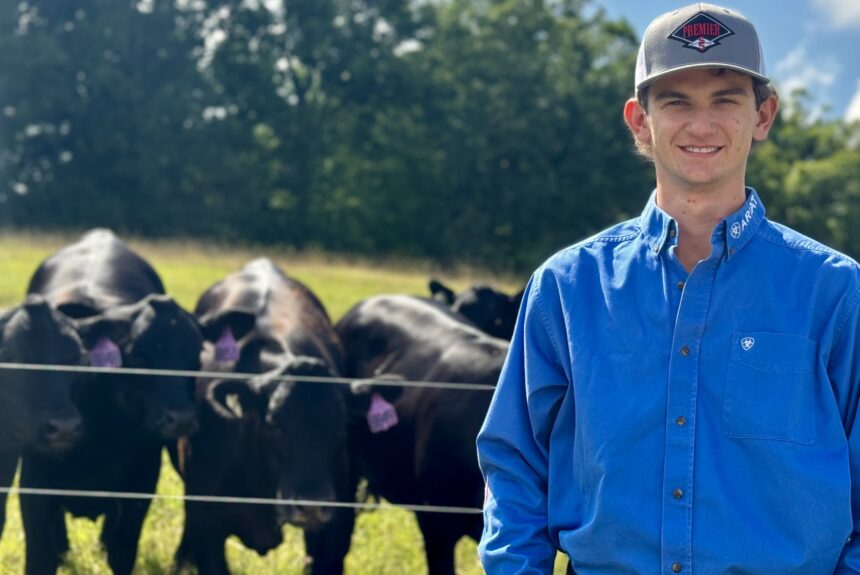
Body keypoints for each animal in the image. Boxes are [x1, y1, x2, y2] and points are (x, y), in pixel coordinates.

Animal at [20, 228, 202, 575]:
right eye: (138, 356)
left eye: (193, 355)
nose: (183, 418)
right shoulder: (34, 486)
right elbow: (40, 555)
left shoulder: (140, 484)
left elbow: (122, 552)